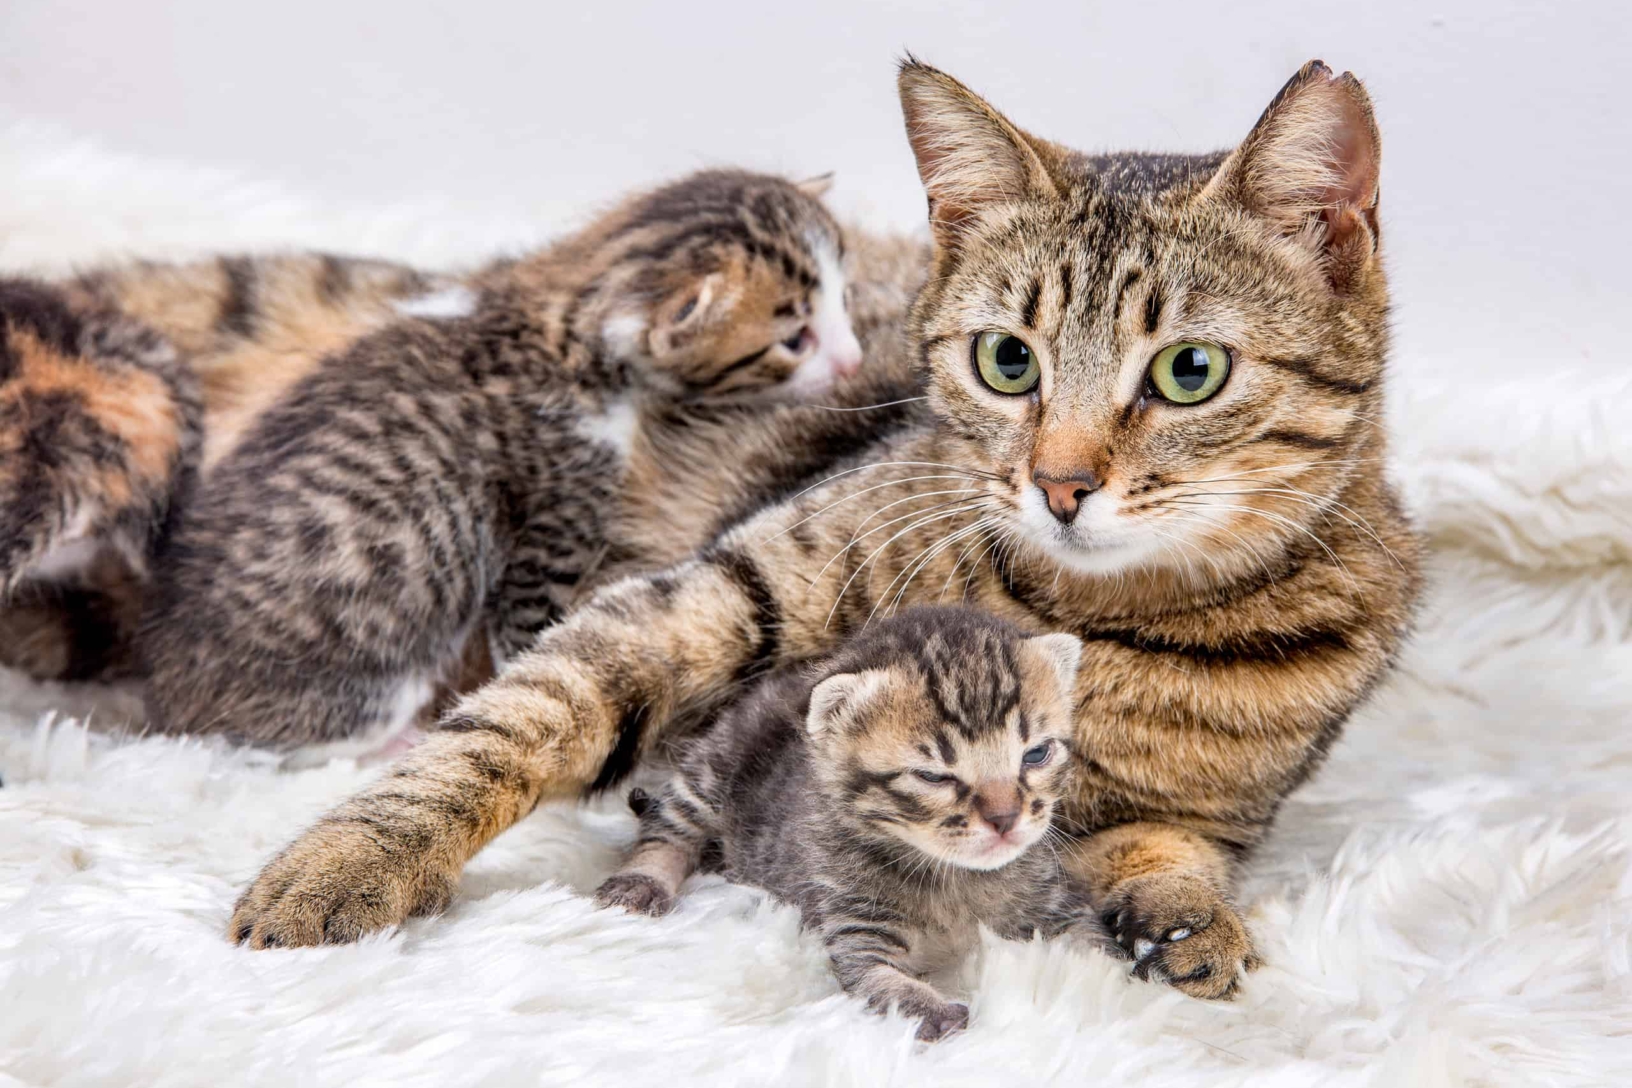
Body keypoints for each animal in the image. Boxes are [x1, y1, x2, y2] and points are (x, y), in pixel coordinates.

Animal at [0, 170, 874, 756]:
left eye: (846, 295)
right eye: (794, 336)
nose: (855, 360)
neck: (556, 308)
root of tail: (167, 699)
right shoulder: (555, 513)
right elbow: (533, 634)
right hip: (377, 673)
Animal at [597, 610, 1083, 1043]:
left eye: (1036, 754)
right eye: (933, 776)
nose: (1004, 818)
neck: (954, 878)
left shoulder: (1059, 903)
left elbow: (1088, 945)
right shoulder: (854, 921)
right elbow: (875, 974)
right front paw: (925, 1006)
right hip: (711, 769)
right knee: (667, 825)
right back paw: (641, 879)